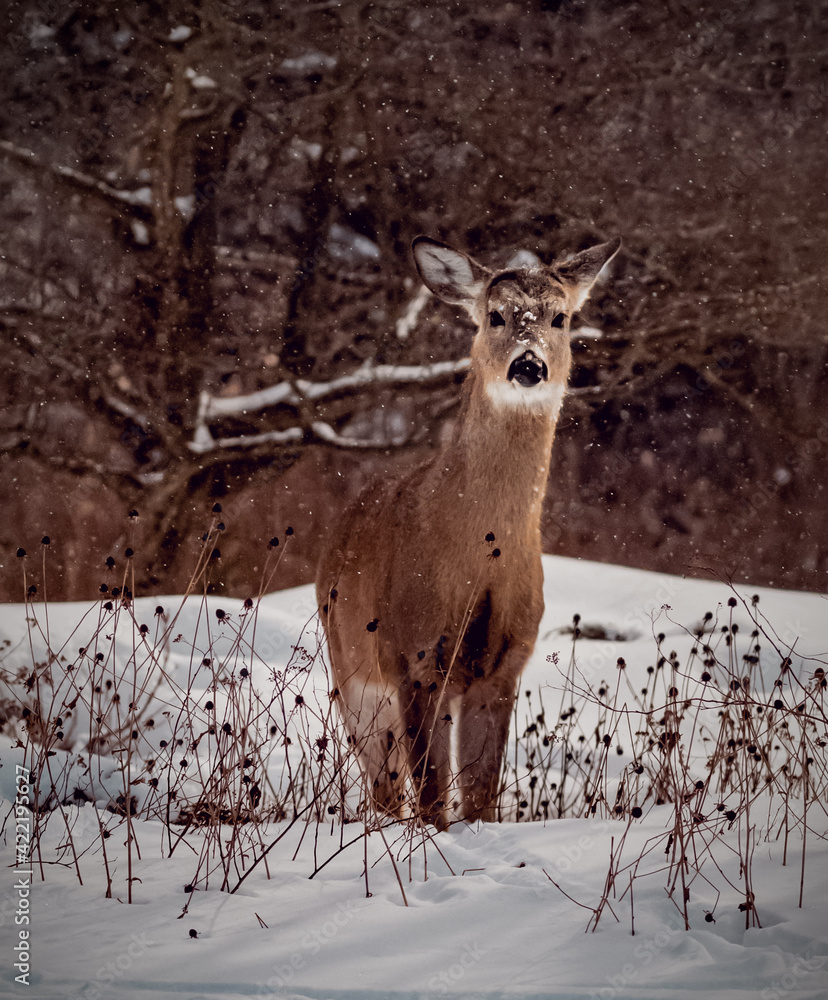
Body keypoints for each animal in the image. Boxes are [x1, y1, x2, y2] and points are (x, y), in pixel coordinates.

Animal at [316, 233, 621, 828]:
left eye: (560, 317)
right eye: (495, 315)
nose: (529, 365)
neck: (480, 559)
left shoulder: (503, 666)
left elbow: (481, 797)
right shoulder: (411, 654)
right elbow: (434, 795)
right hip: (352, 676)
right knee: (384, 789)